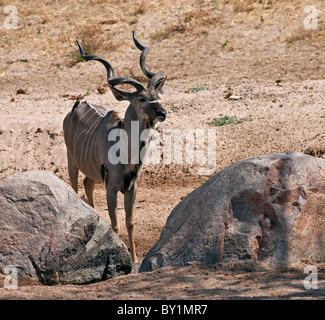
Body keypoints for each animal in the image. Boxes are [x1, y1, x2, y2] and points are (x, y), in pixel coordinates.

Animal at [63, 31, 166, 264]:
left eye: (157, 96)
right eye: (142, 98)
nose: (162, 112)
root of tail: (77, 105)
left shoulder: (131, 188)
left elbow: (130, 223)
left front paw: (135, 260)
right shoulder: (111, 187)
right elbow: (116, 225)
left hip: (92, 173)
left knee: (87, 184)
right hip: (72, 161)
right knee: (75, 188)